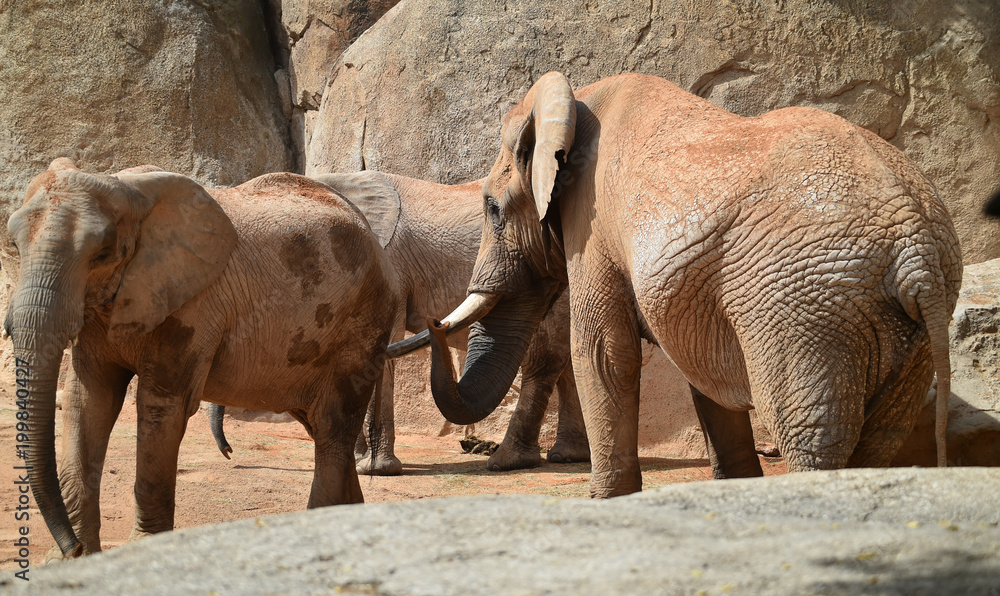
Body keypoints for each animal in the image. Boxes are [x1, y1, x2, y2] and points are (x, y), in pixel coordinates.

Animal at [5, 159, 399, 558]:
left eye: (102, 253)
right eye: (14, 245)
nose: (73, 547)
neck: (125, 187)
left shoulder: (194, 305)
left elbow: (161, 407)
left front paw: (142, 550)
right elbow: (88, 401)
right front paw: (67, 562)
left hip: (363, 323)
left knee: (333, 425)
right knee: (319, 425)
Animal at [208, 171, 590, 474]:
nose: (229, 453)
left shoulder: (386, 265)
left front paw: (373, 469)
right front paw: (357, 459)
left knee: (546, 356)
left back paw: (508, 461)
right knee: (567, 358)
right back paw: (568, 456)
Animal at [391, 72, 962, 498]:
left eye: (491, 209)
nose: (433, 323)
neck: (572, 104)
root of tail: (917, 251)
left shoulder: (594, 224)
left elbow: (603, 351)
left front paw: (609, 501)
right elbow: (700, 375)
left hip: (806, 308)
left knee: (811, 436)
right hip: (900, 330)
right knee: (881, 438)